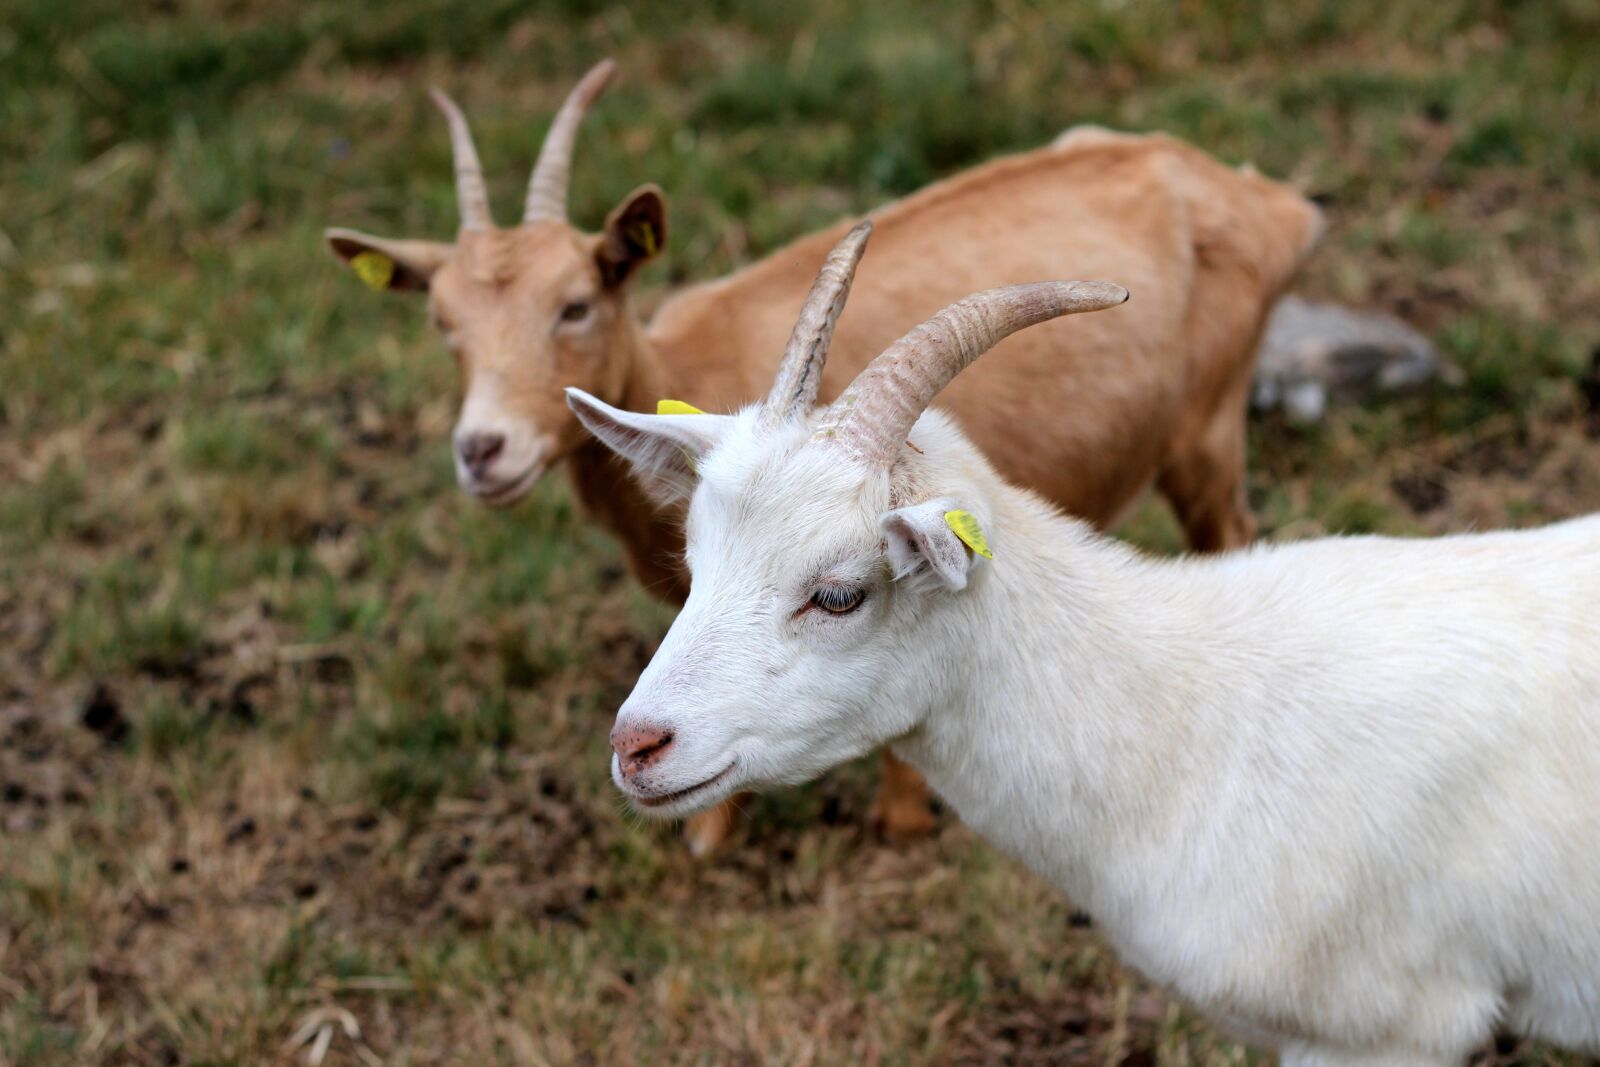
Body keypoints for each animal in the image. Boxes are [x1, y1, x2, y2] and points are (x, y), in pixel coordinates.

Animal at [325, 61, 1322, 854]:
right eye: (441, 322)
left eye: (576, 304)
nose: (482, 450)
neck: (680, 361)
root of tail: (1267, 200)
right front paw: (709, 839)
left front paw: (904, 822)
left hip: (1206, 429)